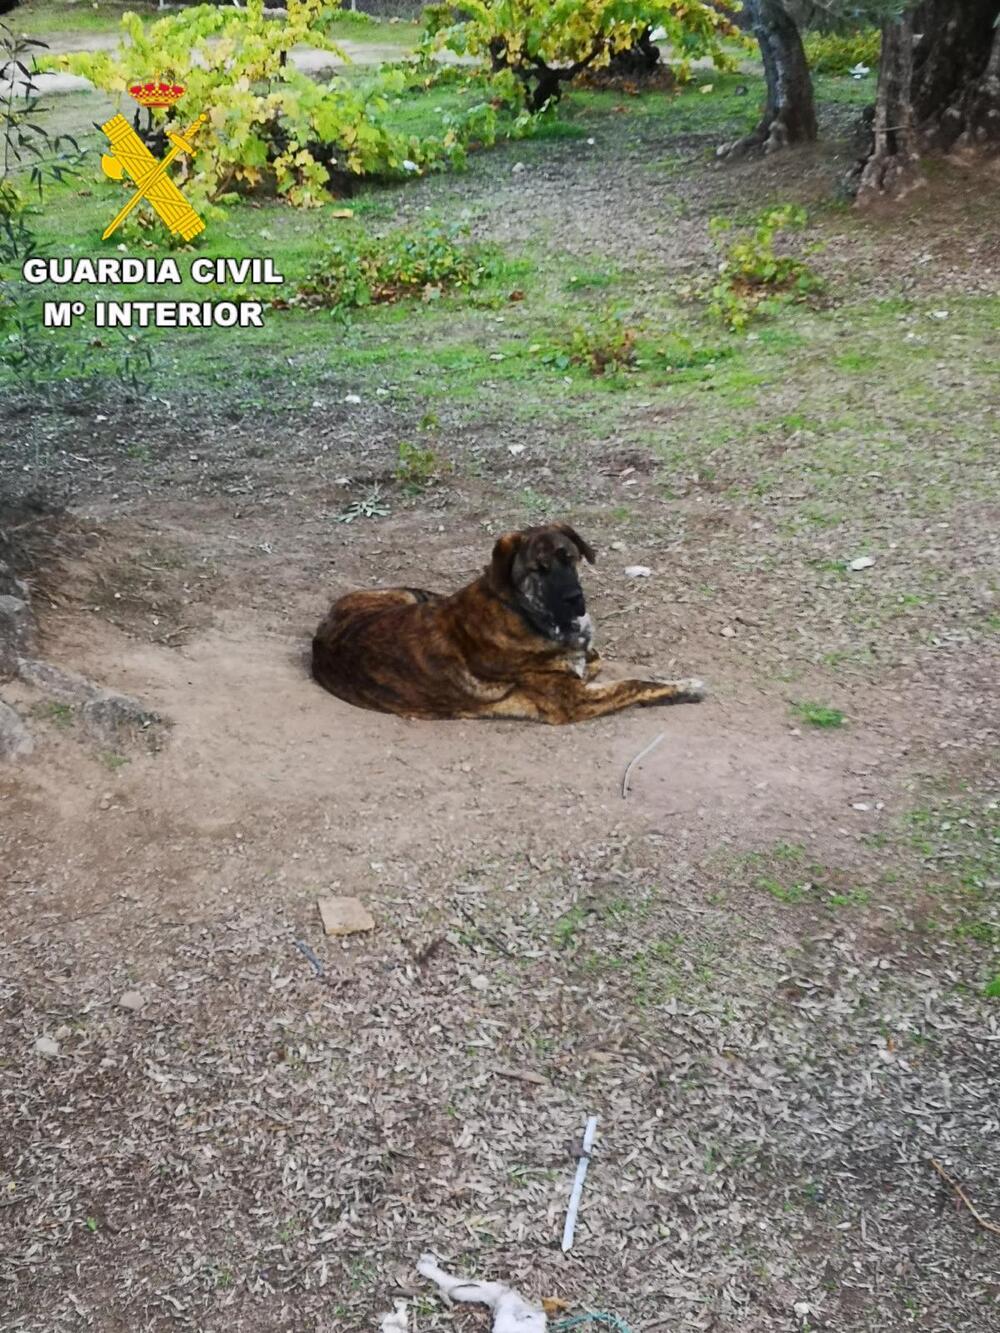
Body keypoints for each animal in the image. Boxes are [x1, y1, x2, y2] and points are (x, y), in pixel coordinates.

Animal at [309, 522, 709, 730]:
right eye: (539, 569)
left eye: (570, 558)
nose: (575, 599)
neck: (524, 611)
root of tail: (320, 636)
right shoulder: (574, 701)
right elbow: (635, 683)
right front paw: (686, 687)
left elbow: (597, 660)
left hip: (411, 596)